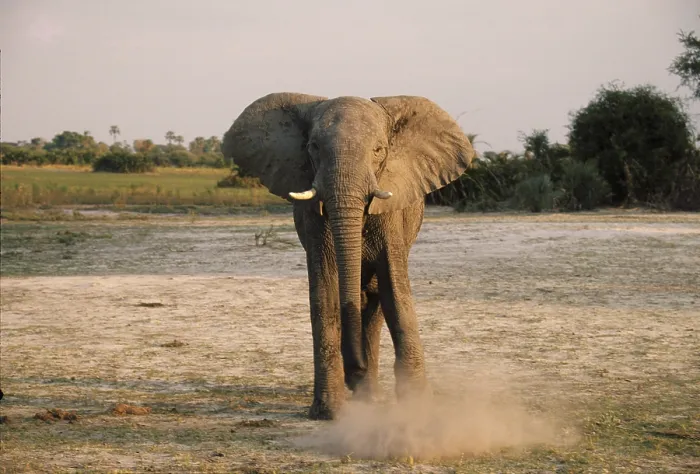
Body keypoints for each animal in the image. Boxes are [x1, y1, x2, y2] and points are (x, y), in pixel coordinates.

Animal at [222, 93, 474, 420]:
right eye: (313, 148)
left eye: (379, 150)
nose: (355, 371)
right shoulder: (314, 218)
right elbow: (324, 295)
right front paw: (328, 412)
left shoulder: (391, 211)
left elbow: (396, 293)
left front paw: (418, 406)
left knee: (376, 303)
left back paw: (371, 395)